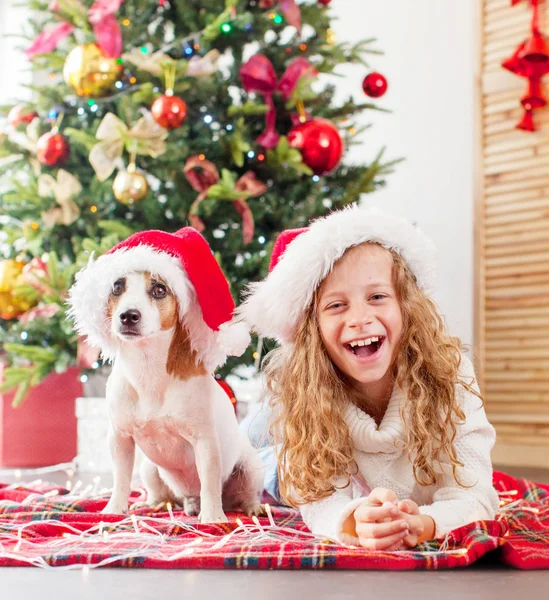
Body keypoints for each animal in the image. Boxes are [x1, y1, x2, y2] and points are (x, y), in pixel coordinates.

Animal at [66, 227, 264, 524]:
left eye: (159, 289)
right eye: (117, 286)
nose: (128, 315)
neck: (147, 367)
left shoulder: (205, 442)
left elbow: (209, 483)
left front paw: (212, 518)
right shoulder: (120, 438)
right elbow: (121, 479)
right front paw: (114, 509)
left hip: (251, 468)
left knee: (244, 495)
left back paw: (249, 508)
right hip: (149, 468)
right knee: (162, 493)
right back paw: (156, 504)